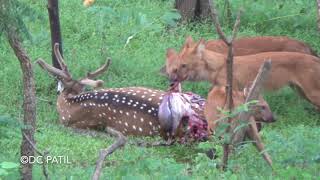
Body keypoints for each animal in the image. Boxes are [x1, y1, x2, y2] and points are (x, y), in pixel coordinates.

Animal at [165, 39, 320, 109]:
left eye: (183, 65)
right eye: (175, 66)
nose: (171, 81)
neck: (219, 66)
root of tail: (315, 58)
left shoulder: (232, 90)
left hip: (312, 94)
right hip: (301, 92)